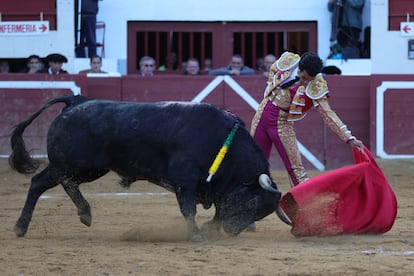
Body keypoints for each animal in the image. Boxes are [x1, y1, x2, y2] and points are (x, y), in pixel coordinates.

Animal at [8, 96, 290, 240]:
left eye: (260, 214)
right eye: (252, 203)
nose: (232, 232)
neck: (221, 142)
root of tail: (75, 102)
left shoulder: (216, 188)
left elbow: (219, 208)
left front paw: (210, 228)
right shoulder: (185, 180)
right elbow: (188, 208)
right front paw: (197, 234)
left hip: (87, 168)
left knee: (67, 183)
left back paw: (85, 214)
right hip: (69, 163)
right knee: (39, 183)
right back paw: (21, 227)